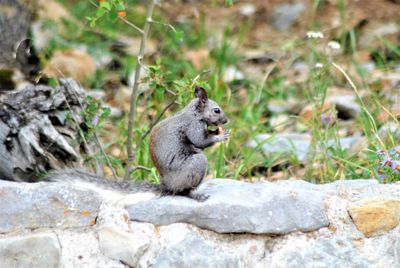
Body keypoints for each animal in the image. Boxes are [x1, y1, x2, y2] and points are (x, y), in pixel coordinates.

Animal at [47, 85, 228, 200]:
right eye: (216, 110)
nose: (226, 121)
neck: (194, 113)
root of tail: (166, 186)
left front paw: (217, 132)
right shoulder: (192, 125)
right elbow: (199, 140)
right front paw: (220, 136)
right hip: (195, 165)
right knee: (181, 191)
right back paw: (195, 194)